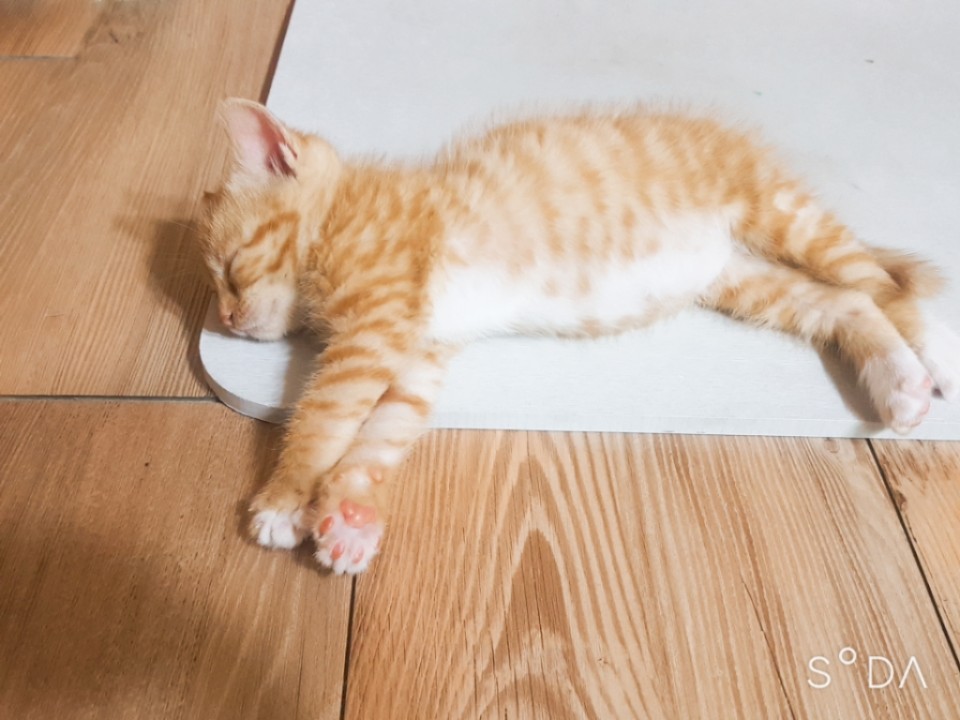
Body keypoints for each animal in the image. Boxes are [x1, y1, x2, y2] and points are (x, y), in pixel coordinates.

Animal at [199, 97, 960, 575]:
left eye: (230, 270)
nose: (227, 321)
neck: (345, 210)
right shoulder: (415, 352)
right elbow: (381, 435)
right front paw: (351, 515)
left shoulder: (374, 329)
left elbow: (323, 414)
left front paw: (283, 497)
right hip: (742, 279)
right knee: (848, 302)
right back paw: (899, 385)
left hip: (780, 214)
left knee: (883, 287)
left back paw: (931, 362)